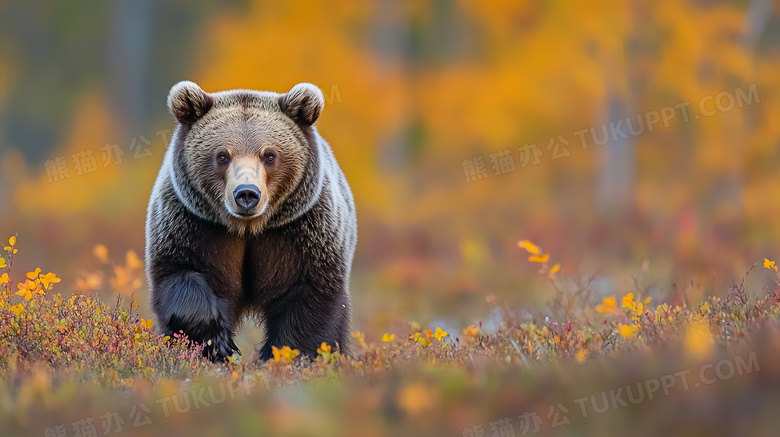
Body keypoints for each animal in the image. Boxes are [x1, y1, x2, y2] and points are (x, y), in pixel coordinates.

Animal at [145, 80, 358, 360]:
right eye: (222, 155)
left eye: (269, 155)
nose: (246, 193)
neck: (248, 229)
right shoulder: (193, 224)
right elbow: (179, 274)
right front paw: (218, 342)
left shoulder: (303, 232)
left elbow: (309, 301)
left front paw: (288, 355)